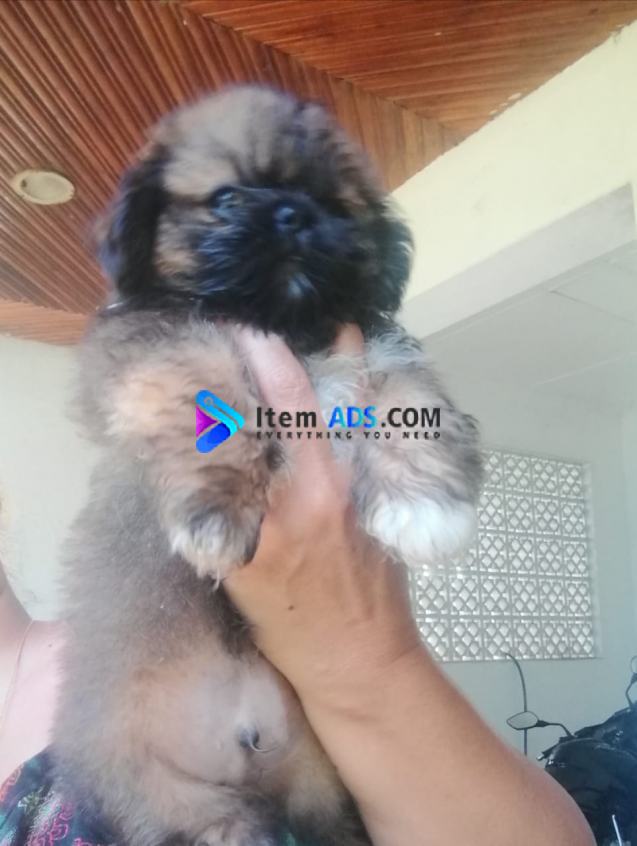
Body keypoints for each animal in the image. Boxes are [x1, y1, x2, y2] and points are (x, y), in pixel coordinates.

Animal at [53, 86, 483, 846]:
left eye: (335, 205)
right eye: (226, 199)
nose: (292, 214)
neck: (289, 330)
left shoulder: (379, 351)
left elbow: (409, 398)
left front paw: (428, 508)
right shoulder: (161, 343)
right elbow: (210, 387)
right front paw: (216, 514)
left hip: (320, 792)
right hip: (180, 808)